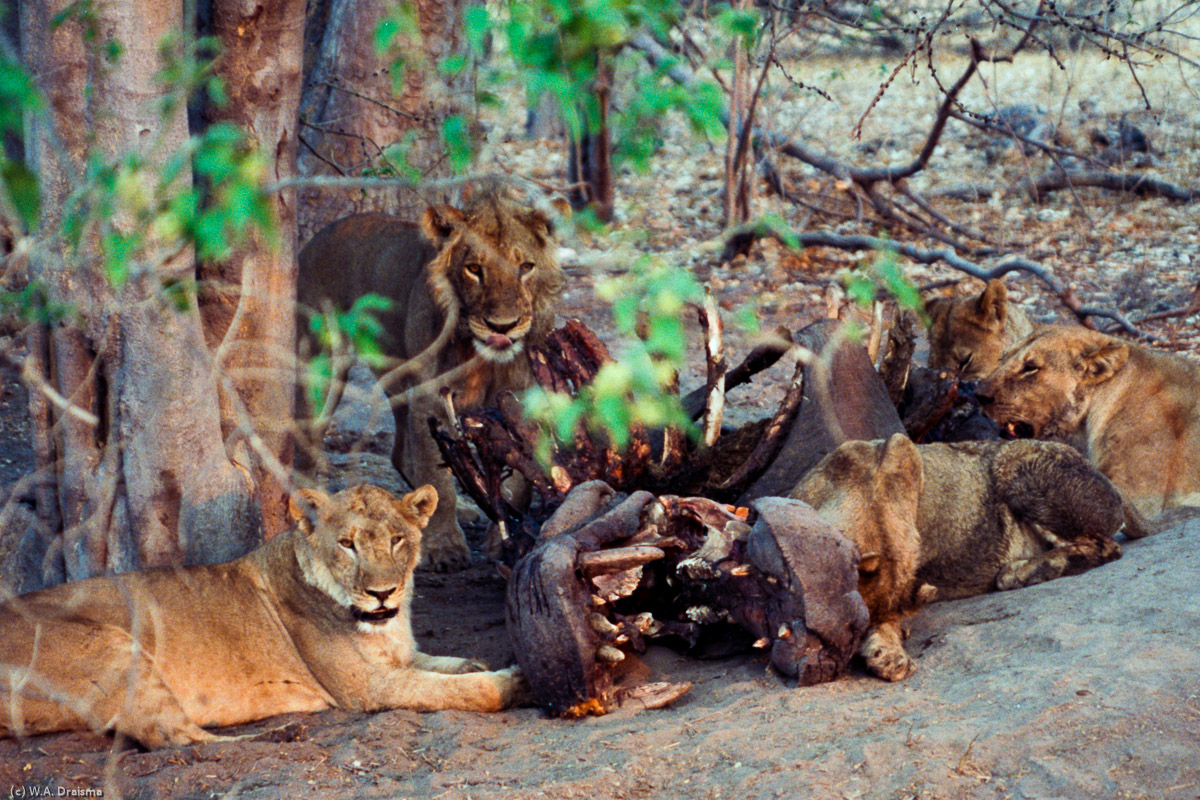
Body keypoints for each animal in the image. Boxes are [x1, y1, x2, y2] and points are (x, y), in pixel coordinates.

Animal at [0, 482, 525, 753]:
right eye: (347, 544)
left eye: (398, 540)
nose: (382, 593)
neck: (383, 626)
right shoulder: (366, 688)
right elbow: (456, 689)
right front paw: (512, 681)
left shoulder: (402, 656)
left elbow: (447, 665)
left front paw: (478, 664)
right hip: (114, 648)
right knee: (176, 739)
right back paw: (280, 732)